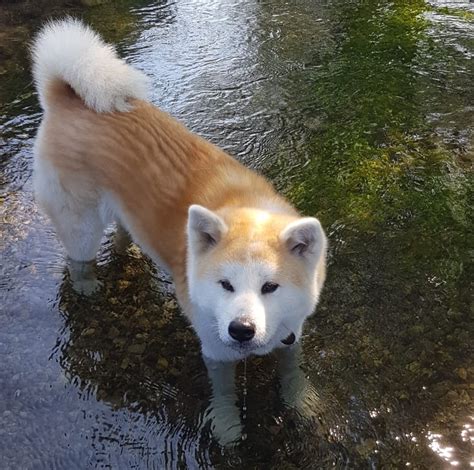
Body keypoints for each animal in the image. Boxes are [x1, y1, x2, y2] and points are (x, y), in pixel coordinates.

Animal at [31, 18, 328, 444]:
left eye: (271, 287)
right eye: (225, 285)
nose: (241, 330)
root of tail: (65, 95)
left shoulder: (290, 336)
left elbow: (291, 371)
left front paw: (301, 401)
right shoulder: (216, 351)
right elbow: (223, 393)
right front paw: (227, 426)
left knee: (123, 231)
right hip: (80, 224)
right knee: (78, 260)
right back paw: (87, 286)